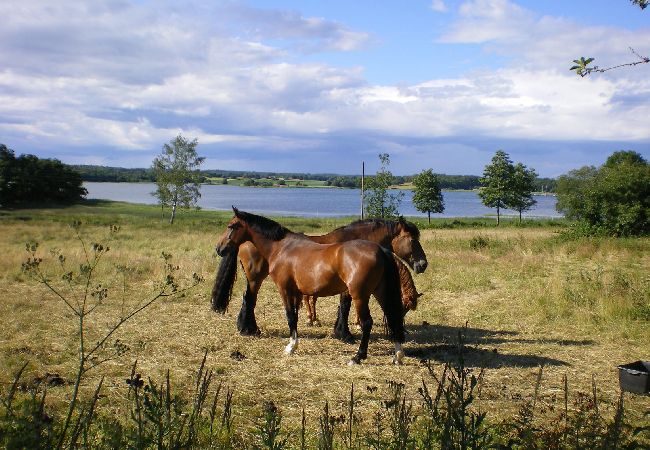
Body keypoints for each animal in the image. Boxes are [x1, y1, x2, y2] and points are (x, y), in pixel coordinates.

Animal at [210, 218, 428, 342]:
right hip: (256, 277)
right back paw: (249, 329)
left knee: (248, 299)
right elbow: (345, 306)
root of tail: (244, 242)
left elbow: (343, 307)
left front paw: (340, 330)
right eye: (412, 239)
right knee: (249, 299)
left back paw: (245, 327)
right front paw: (344, 334)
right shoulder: (348, 288)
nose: (423, 264)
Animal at [215, 207, 402, 366]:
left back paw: (358, 357)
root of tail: (380, 250)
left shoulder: (284, 290)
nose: (219, 248)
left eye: (231, 226)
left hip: (360, 296)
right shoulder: (297, 292)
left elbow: (290, 317)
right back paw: (397, 356)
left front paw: (291, 347)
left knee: (367, 323)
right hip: (380, 293)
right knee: (393, 317)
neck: (281, 247)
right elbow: (295, 317)